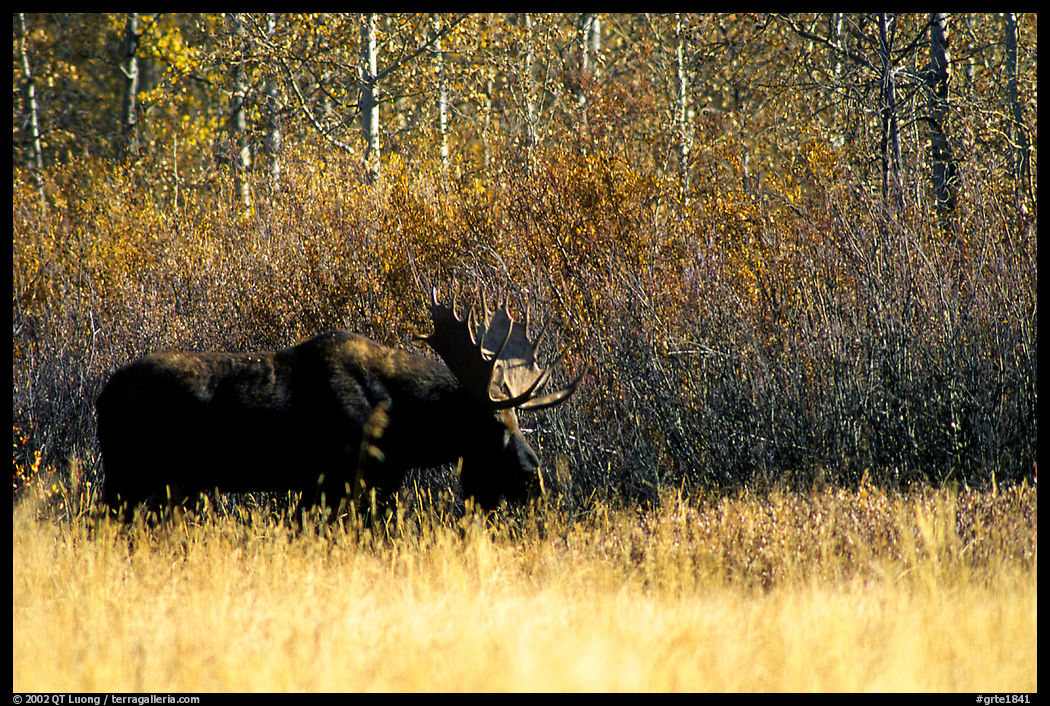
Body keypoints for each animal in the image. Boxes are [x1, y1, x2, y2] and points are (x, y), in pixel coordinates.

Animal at [95, 289, 586, 524]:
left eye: (518, 418)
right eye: (489, 421)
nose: (534, 475)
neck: (408, 429)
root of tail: (102, 398)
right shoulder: (338, 480)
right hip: (128, 477)